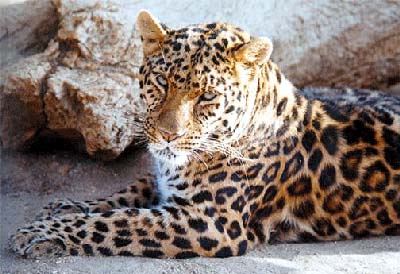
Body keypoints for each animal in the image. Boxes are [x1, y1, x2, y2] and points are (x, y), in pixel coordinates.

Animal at [9, 10, 400, 260]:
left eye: (207, 96)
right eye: (161, 81)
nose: (168, 135)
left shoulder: (210, 221)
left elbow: (118, 222)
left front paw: (41, 232)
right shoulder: (164, 183)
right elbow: (125, 194)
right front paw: (66, 207)